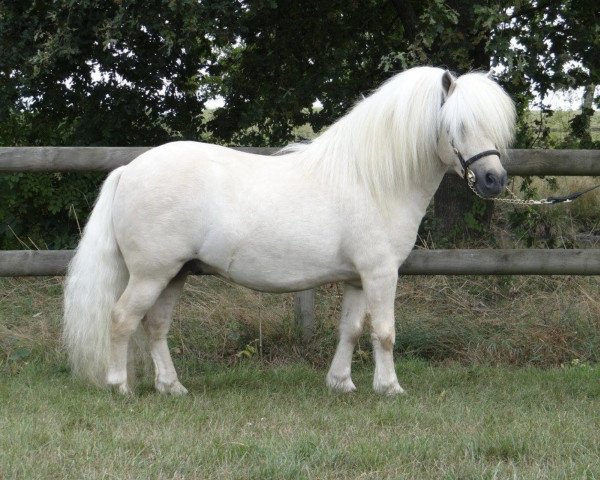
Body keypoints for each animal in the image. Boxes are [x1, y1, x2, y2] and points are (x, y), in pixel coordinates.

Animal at [64, 68, 516, 398]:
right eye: (458, 125)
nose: (494, 180)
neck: (371, 180)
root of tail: (129, 170)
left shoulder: (356, 279)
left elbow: (351, 330)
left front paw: (341, 383)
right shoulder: (380, 273)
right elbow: (384, 333)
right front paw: (390, 388)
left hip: (175, 274)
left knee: (155, 326)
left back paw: (172, 387)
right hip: (150, 274)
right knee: (122, 319)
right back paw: (120, 387)